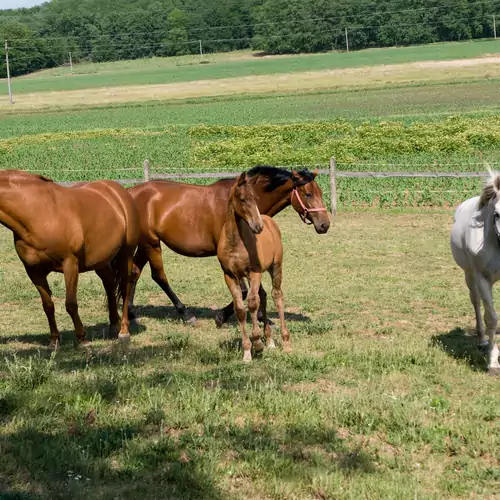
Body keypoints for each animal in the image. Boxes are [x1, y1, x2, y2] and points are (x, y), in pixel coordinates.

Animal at [0, 170, 139, 346]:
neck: (38, 212)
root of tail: (120, 193)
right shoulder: (33, 271)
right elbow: (48, 305)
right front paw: (54, 341)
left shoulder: (70, 264)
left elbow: (71, 304)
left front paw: (82, 339)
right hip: (101, 261)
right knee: (109, 285)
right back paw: (114, 325)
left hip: (125, 254)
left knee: (125, 286)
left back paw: (123, 331)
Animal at [127, 166, 330, 326]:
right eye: (308, 194)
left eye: (320, 193)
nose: (325, 225)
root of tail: (129, 194)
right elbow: (244, 290)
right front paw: (221, 317)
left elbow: (256, 289)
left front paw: (264, 319)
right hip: (151, 243)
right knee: (159, 276)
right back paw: (187, 315)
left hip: (146, 244)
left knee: (134, 272)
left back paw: (130, 314)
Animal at [217, 174, 292, 362]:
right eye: (243, 199)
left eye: (256, 198)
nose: (258, 227)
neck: (235, 242)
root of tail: (269, 220)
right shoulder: (229, 275)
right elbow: (240, 310)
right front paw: (247, 353)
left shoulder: (254, 272)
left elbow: (251, 303)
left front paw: (257, 344)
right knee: (263, 296)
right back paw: (270, 341)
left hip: (275, 267)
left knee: (276, 296)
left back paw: (286, 342)